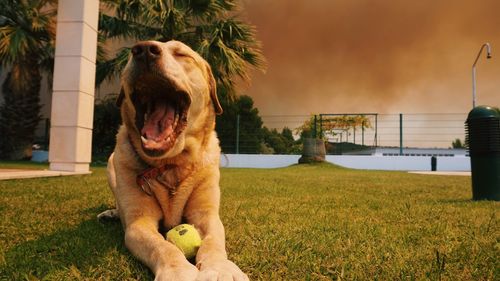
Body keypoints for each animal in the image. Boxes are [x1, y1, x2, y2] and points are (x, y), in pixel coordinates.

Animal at [97, 41, 248, 280]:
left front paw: (220, 268)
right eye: (131, 55)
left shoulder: (206, 215)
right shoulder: (139, 223)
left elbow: (213, 242)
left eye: (181, 54)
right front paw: (178, 271)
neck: (171, 163)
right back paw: (112, 213)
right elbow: (163, 246)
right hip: (112, 167)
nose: (143, 50)